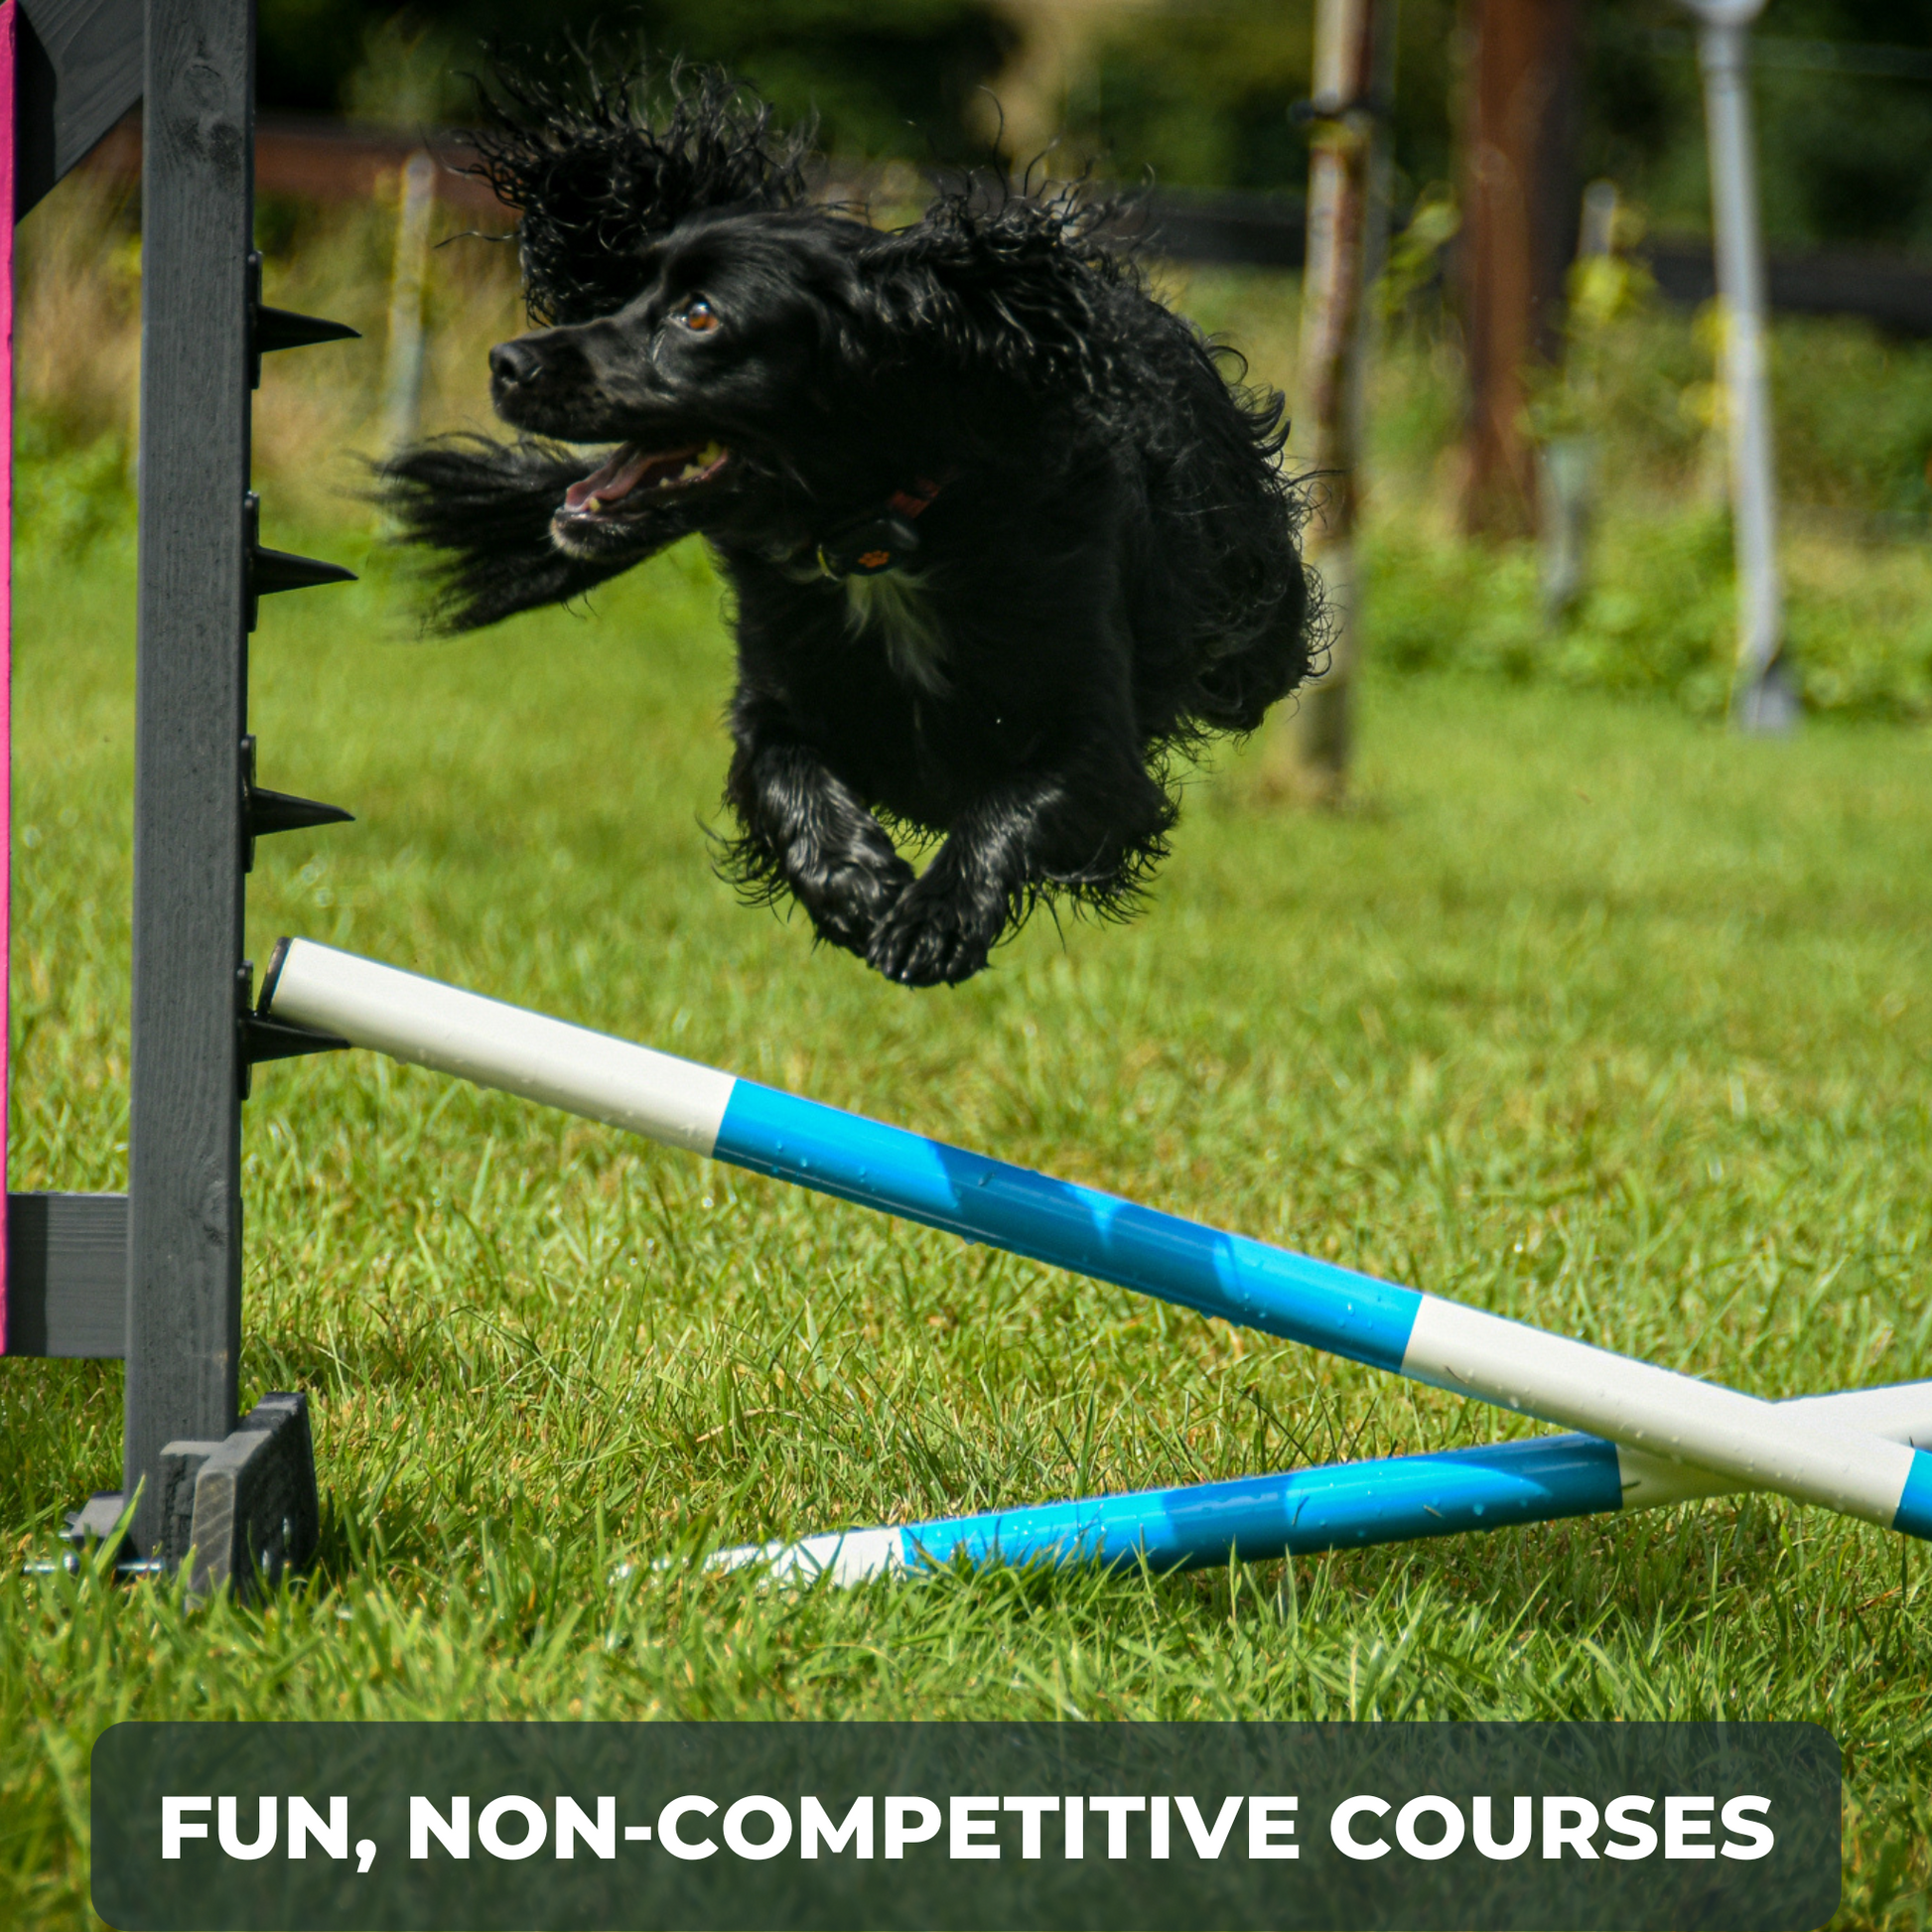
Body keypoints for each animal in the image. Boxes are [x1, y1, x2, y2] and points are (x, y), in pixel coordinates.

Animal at [380, 68, 1313, 989]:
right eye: (633, 290)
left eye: (699, 315)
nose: (507, 362)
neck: (883, 537)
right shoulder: (772, 698)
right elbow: (784, 771)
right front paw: (854, 886)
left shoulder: (1096, 738)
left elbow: (1017, 802)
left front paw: (937, 917)